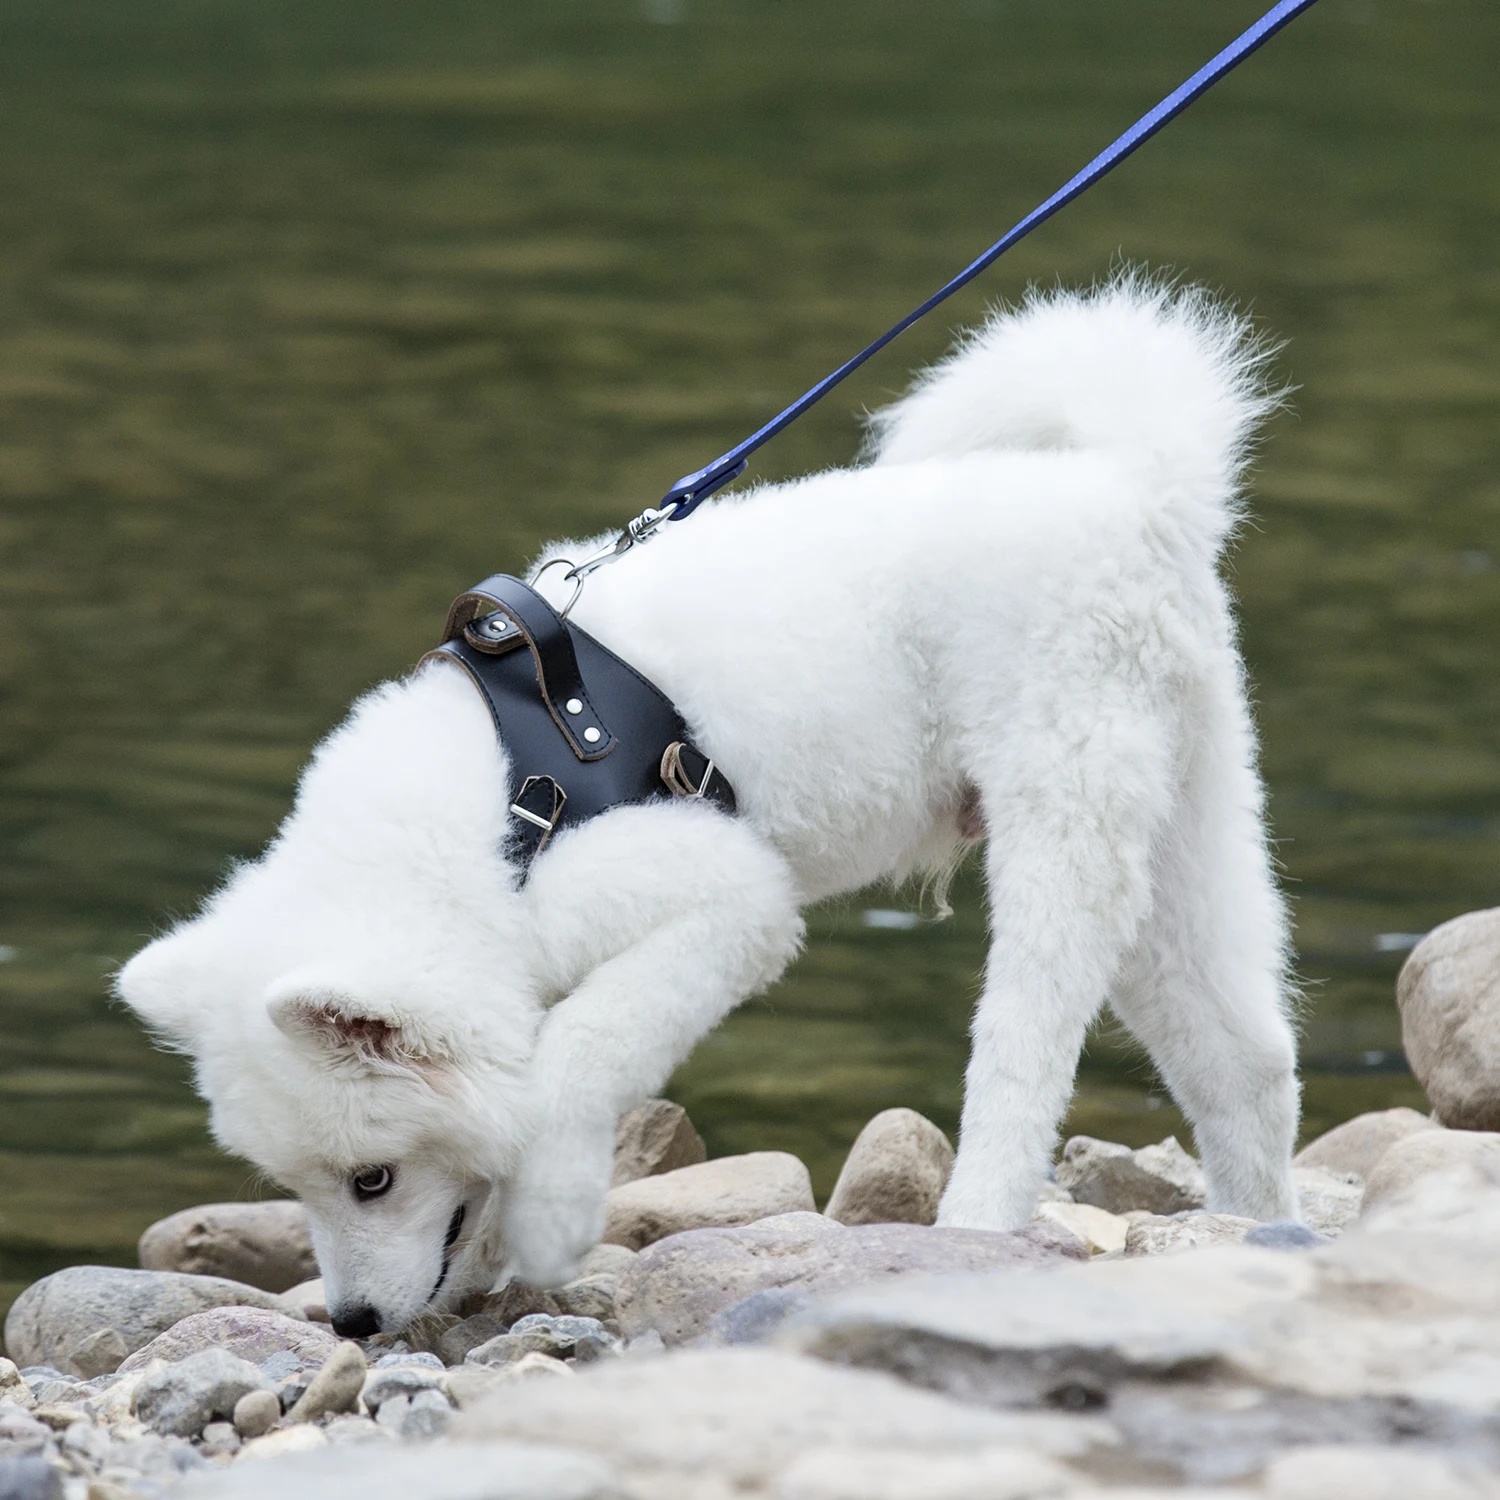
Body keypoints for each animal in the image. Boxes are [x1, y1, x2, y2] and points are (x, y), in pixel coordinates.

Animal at [117, 279, 1302, 1338]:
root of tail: (1133, 486)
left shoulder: (728, 898)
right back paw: (1250, 1238)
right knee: (1244, 1060)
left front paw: (549, 1224)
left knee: (1027, 1053)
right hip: (1175, 826)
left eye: (371, 1179)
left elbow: (573, 1058)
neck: (505, 815)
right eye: (297, 1185)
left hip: (1064, 817)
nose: (354, 1325)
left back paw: (972, 1229)